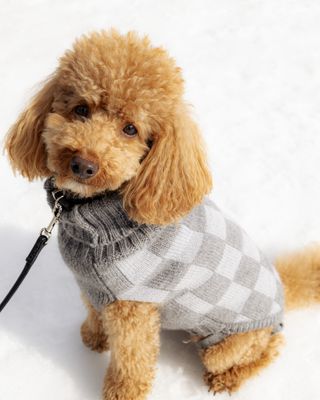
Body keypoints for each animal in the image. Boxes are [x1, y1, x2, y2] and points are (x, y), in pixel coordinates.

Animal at [4, 29, 320, 398]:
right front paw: (94, 338)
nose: (83, 164)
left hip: (229, 344)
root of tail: (283, 290)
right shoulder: (95, 288)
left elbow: (132, 359)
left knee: (266, 349)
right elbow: (94, 313)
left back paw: (226, 380)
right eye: (81, 109)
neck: (98, 213)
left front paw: (121, 391)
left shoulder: (133, 308)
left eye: (131, 129)